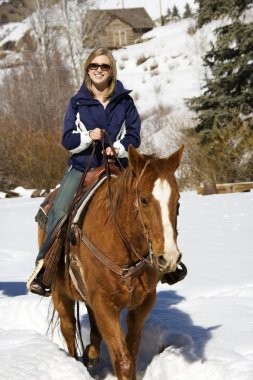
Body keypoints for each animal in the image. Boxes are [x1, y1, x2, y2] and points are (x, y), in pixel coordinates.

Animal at [46, 144, 183, 378]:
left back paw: (91, 355)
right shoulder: (104, 303)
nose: (169, 258)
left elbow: (132, 351)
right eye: (144, 200)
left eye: (178, 201)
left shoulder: (142, 303)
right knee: (69, 328)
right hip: (59, 293)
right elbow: (123, 360)